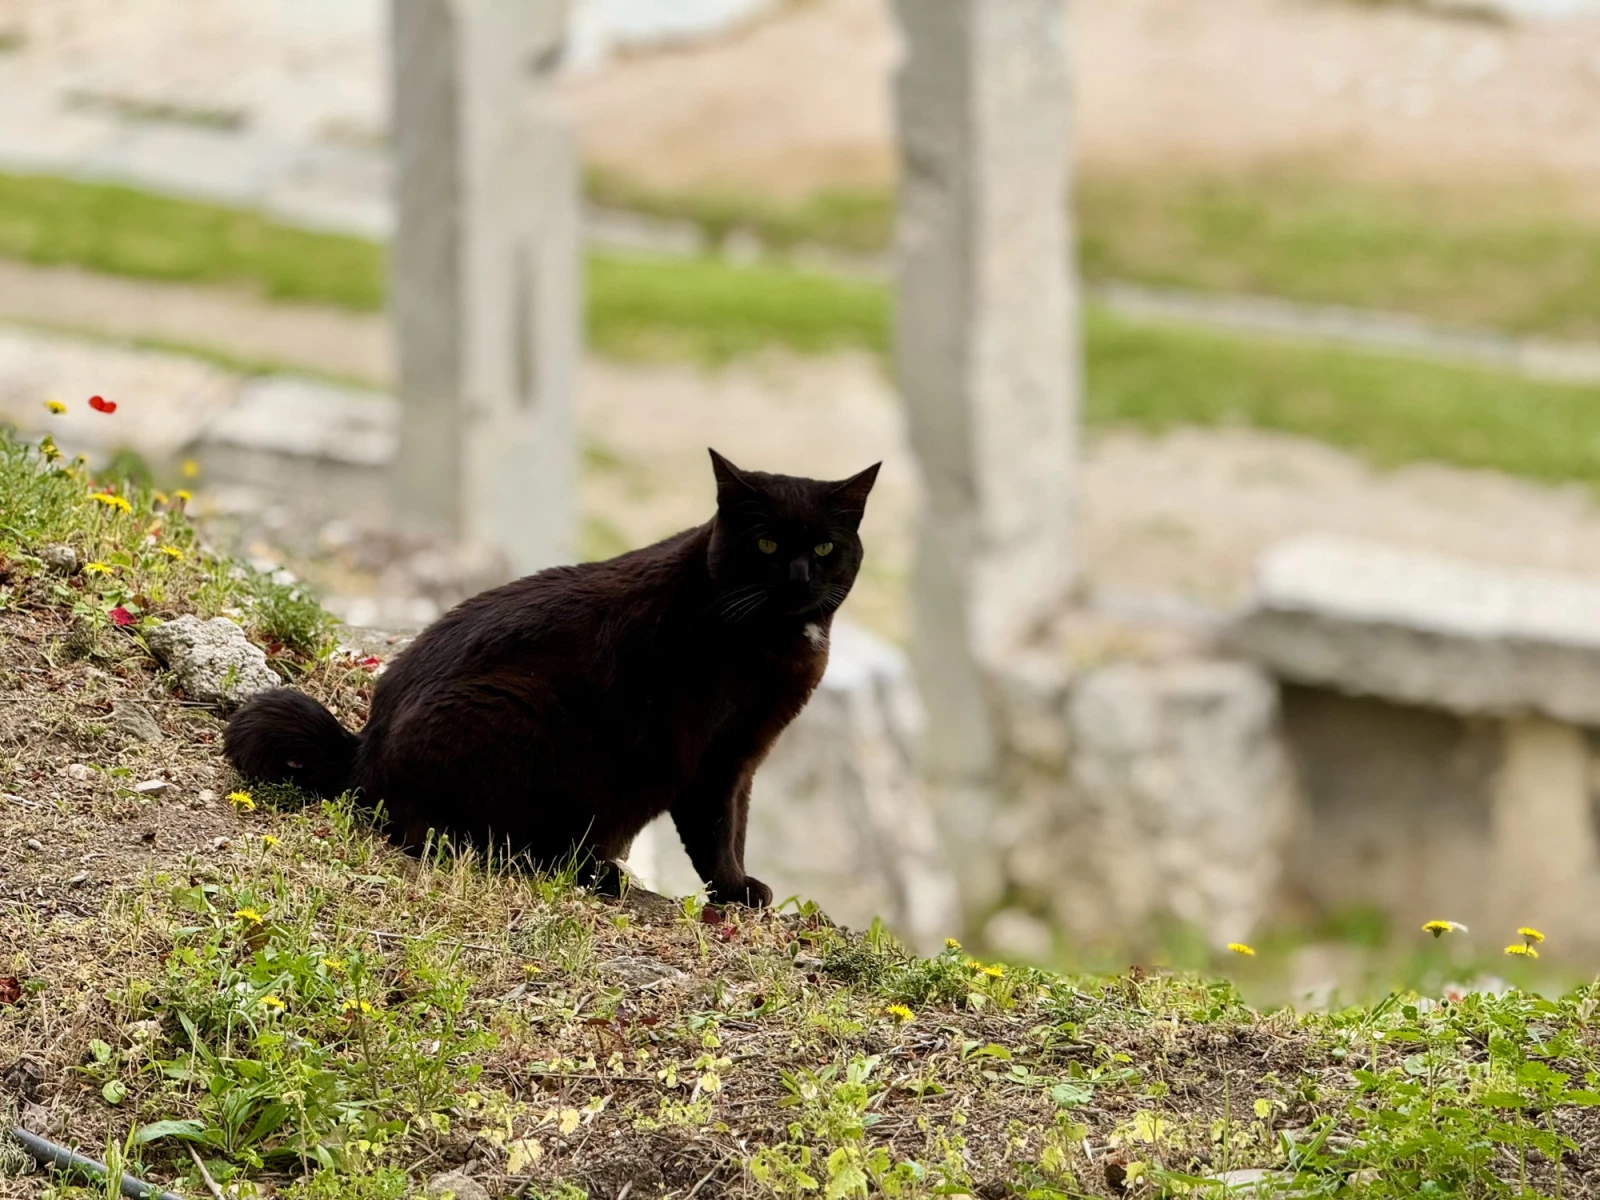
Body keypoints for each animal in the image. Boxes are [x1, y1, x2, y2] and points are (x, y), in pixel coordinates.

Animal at [223, 449, 879, 907]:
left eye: (825, 548)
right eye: (766, 544)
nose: (799, 578)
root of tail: (360, 754)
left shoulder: (745, 756)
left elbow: (737, 825)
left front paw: (741, 885)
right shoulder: (712, 756)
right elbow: (717, 830)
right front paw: (737, 891)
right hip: (520, 719)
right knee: (461, 839)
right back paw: (596, 873)